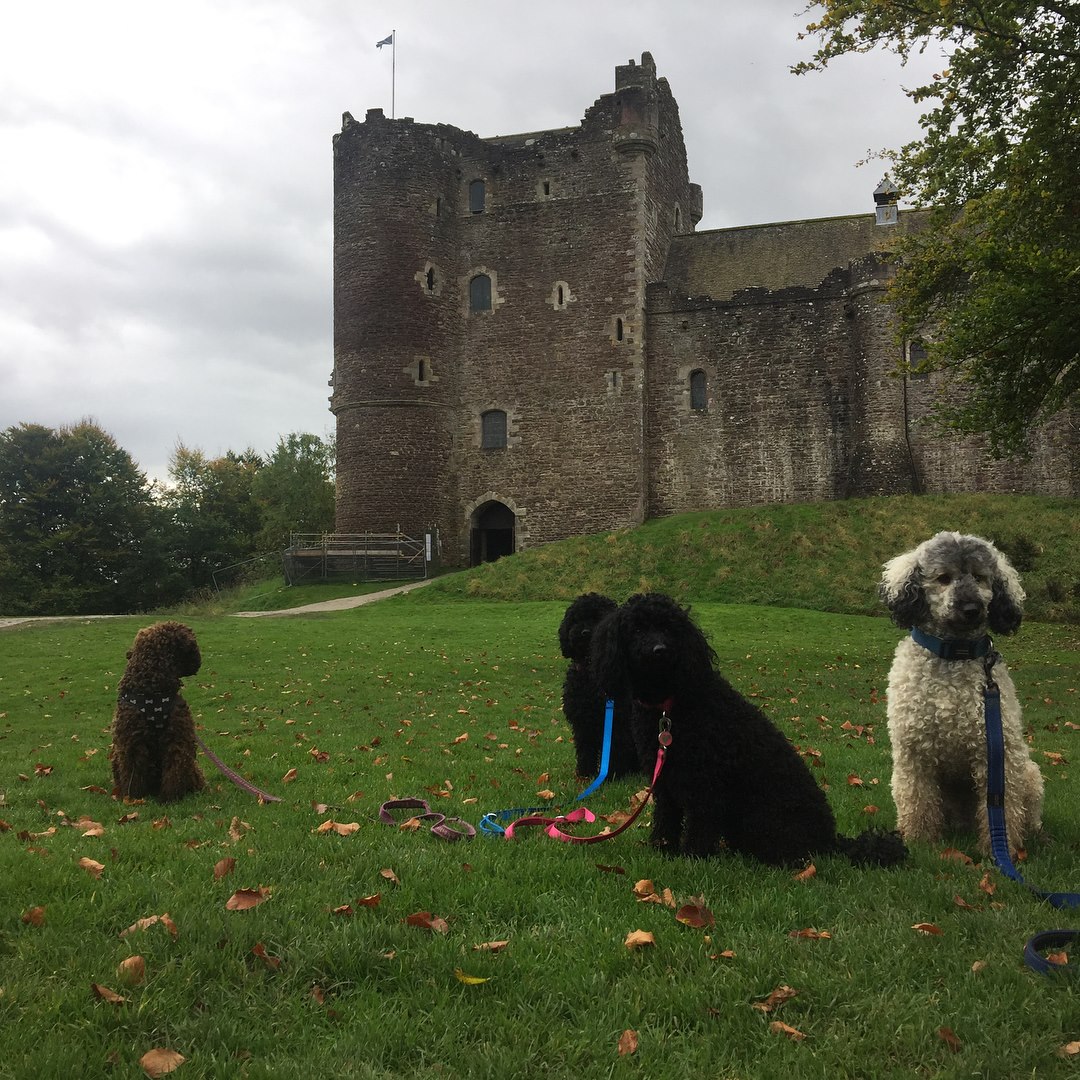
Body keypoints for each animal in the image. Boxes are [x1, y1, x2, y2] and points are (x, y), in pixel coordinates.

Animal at [110, 621, 206, 802]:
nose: (199, 663)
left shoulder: (176, 740)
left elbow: (174, 772)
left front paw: (169, 798)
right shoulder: (133, 743)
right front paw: (134, 798)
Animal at [558, 593, 641, 780]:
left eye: (599, 617)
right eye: (576, 619)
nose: (585, 633)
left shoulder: (617, 722)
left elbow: (615, 748)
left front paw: (612, 775)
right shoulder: (582, 723)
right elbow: (585, 749)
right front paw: (585, 773)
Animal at [591, 592, 907, 867]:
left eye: (669, 628)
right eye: (637, 628)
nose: (660, 651)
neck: (668, 706)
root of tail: (831, 840)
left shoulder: (705, 784)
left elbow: (700, 824)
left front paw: (693, 856)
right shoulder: (665, 782)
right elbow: (666, 817)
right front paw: (662, 848)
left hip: (759, 818)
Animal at [880, 531, 1043, 855]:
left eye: (980, 577)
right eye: (943, 578)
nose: (971, 609)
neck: (954, 654)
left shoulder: (998, 754)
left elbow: (1003, 808)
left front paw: (999, 848)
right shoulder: (913, 752)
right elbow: (917, 800)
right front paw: (919, 841)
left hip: (1028, 771)